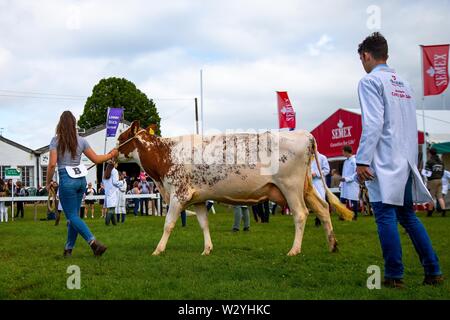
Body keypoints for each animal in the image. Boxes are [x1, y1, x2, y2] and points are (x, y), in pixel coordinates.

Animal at [117, 121, 356, 256]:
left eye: (120, 138)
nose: (111, 158)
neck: (165, 154)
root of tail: (305, 135)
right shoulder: (198, 198)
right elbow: (204, 224)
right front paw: (207, 249)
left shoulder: (178, 194)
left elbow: (168, 224)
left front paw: (158, 250)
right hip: (305, 188)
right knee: (323, 208)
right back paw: (332, 245)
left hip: (290, 186)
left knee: (301, 214)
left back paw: (294, 250)